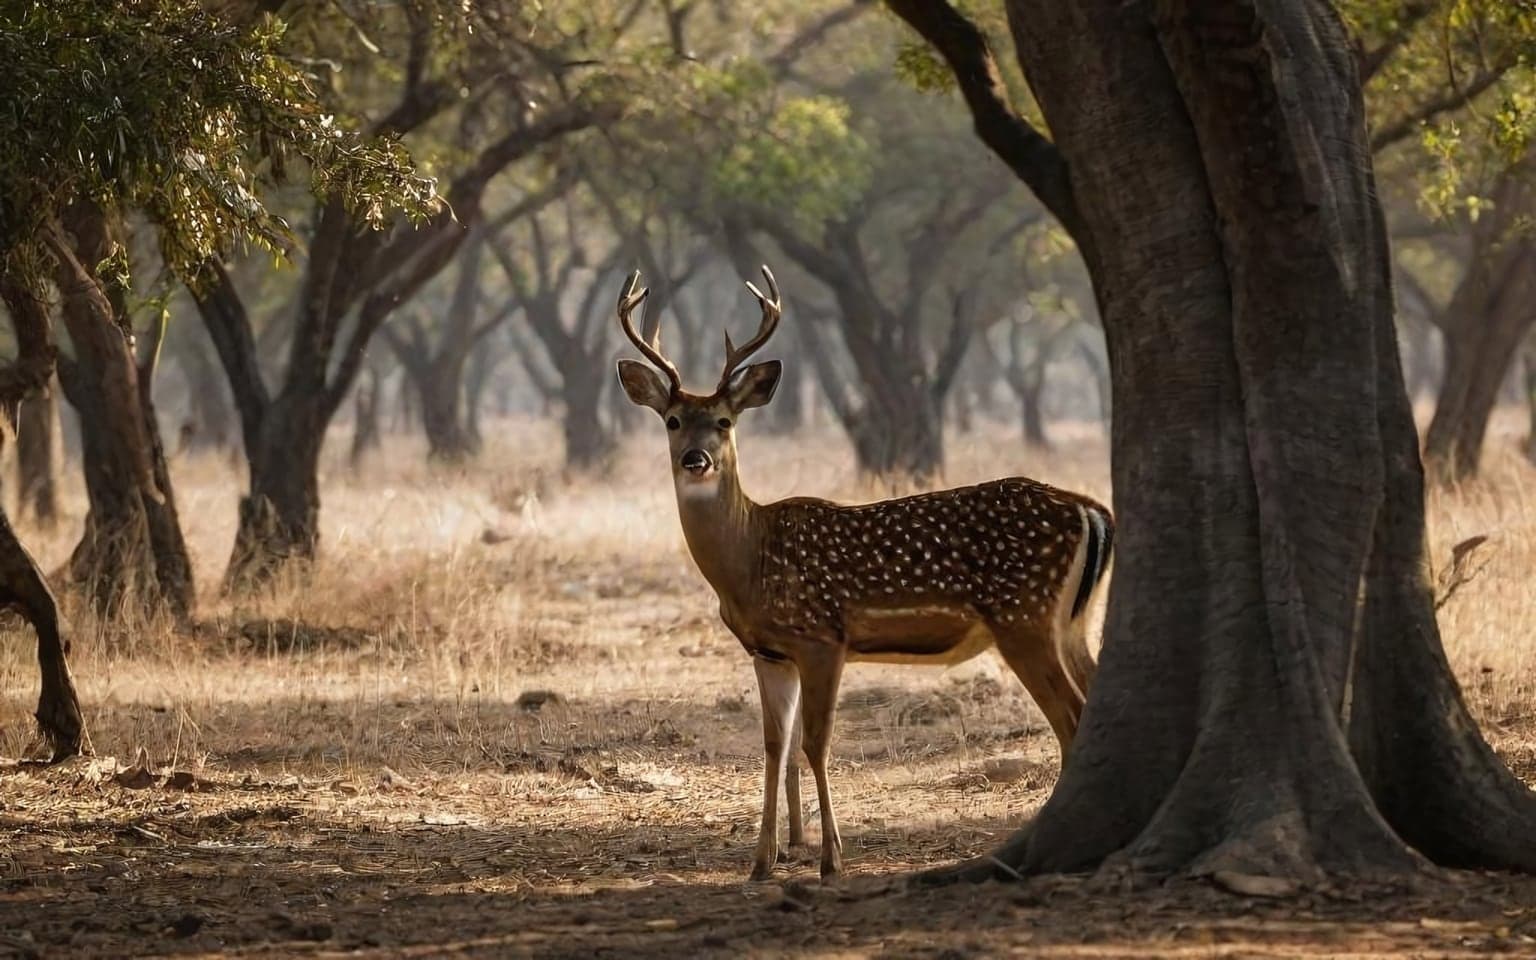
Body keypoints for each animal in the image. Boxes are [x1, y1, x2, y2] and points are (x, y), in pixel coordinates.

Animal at [615, 266, 1113, 881]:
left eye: (725, 422)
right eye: (673, 420)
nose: (695, 460)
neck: (750, 561)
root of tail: (1091, 510)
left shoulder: (823, 637)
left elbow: (815, 743)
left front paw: (831, 859)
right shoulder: (769, 652)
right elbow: (773, 746)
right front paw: (762, 863)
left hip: (1025, 617)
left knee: (1071, 718)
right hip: (1070, 621)